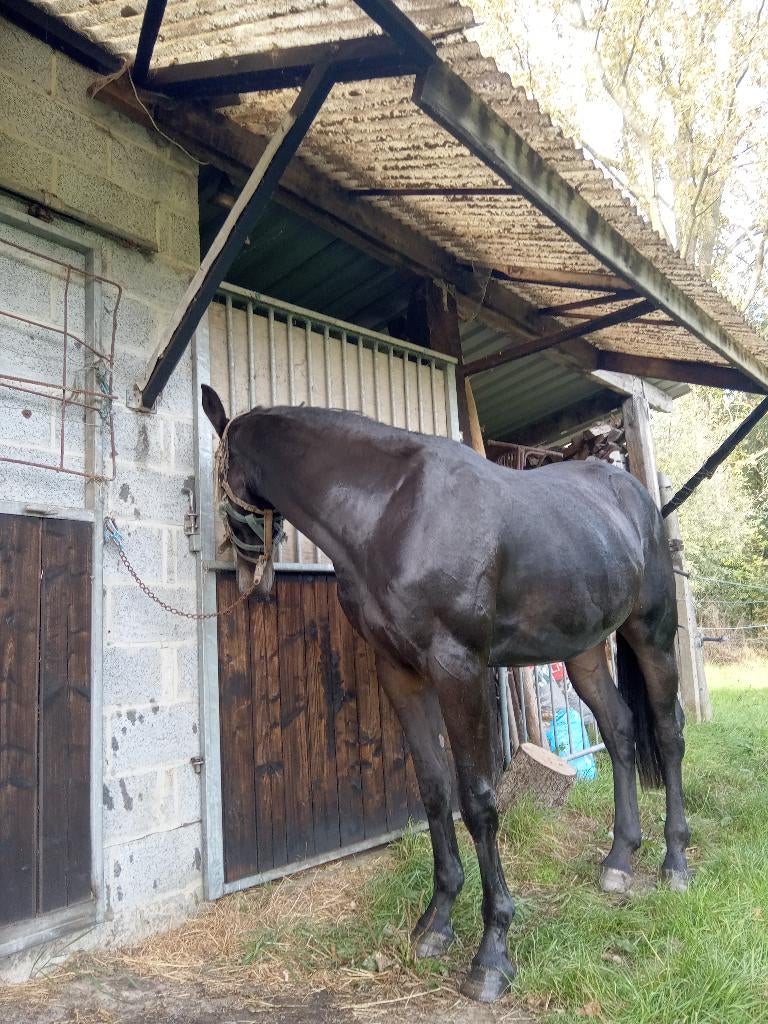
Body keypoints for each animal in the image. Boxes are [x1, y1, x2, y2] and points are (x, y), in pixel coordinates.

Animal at [201, 384, 690, 1003]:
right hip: (584, 650)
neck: (393, 511)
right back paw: (620, 859)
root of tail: (636, 497)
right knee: (621, 730)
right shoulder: (401, 674)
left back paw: (676, 861)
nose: (248, 578)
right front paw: (435, 923)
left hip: (653, 634)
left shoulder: (461, 671)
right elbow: (434, 790)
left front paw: (492, 953)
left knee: (669, 734)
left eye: (220, 473)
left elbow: (478, 801)